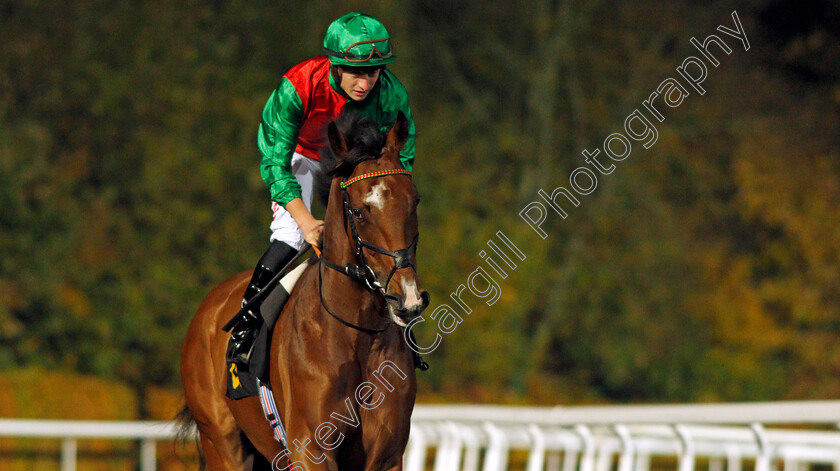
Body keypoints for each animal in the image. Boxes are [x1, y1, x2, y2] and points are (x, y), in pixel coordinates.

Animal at [176, 112, 426, 470]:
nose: (408, 299)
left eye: (414, 200)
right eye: (359, 211)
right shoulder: (311, 448)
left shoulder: (387, 455)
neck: (356, 335)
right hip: (222, 442)